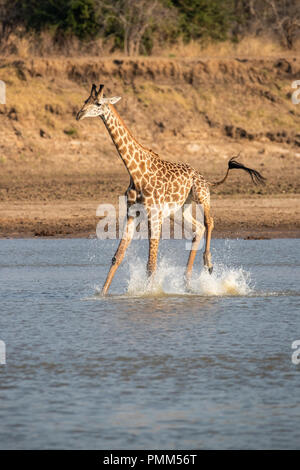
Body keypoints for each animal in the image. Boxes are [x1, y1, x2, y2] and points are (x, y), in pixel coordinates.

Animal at [75, 83, 264, 296]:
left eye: (98, 103)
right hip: (179, 210)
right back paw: (187, 284)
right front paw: (101, 294)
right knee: (198, 229)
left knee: (209, 221)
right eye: (85, 100)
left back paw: (208, 263)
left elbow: (151, 263)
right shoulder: (132, 213)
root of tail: (204, 177)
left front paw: (150, 294)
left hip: (201, 195)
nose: (79, 114)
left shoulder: (154, 214)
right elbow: (118, 256)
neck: (136, 172)